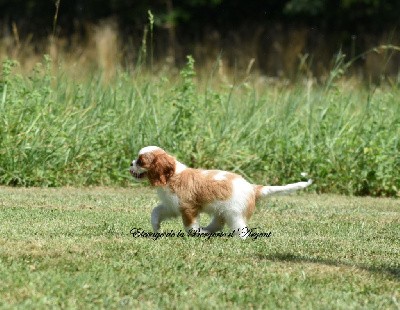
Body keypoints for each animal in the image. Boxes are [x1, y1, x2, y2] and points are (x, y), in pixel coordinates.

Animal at [129, 147, 312, 239]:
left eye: (141, 161)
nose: (130, 163)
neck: (172, 175)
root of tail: (252, 187)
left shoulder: (188, 208)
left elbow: (190, 227)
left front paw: (197, 233)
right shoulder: (172, 206)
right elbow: (156, 211)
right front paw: (156, 228)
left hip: (234, 213)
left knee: (241, 230)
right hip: (221, 210)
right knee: (218, 224)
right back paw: (208, 230)